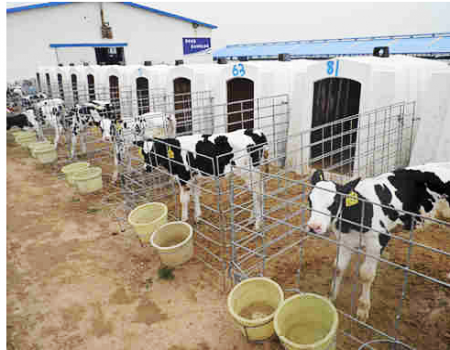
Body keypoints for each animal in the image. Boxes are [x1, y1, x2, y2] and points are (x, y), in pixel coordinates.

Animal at [135, 129, 268, 230]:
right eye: (143, 153)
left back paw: (257, 223)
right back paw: (255, 219)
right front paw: (197, 217)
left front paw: (184, 220)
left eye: (154, 152)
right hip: (256, 171)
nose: (146, 168)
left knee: (257, 194)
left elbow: (184, 200)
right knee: (260, 192)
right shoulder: (194, 178)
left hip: (249, 172)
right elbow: (196, 196)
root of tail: (257, 132)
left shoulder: (184, 177)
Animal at [306, 163, 450, 322]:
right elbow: (338, 267)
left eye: (336, 202)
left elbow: (366, 274)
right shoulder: (345, 240)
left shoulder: (379, 241)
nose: (314, 227)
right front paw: (331, 298)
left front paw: (363, 309)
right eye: (309, 199)